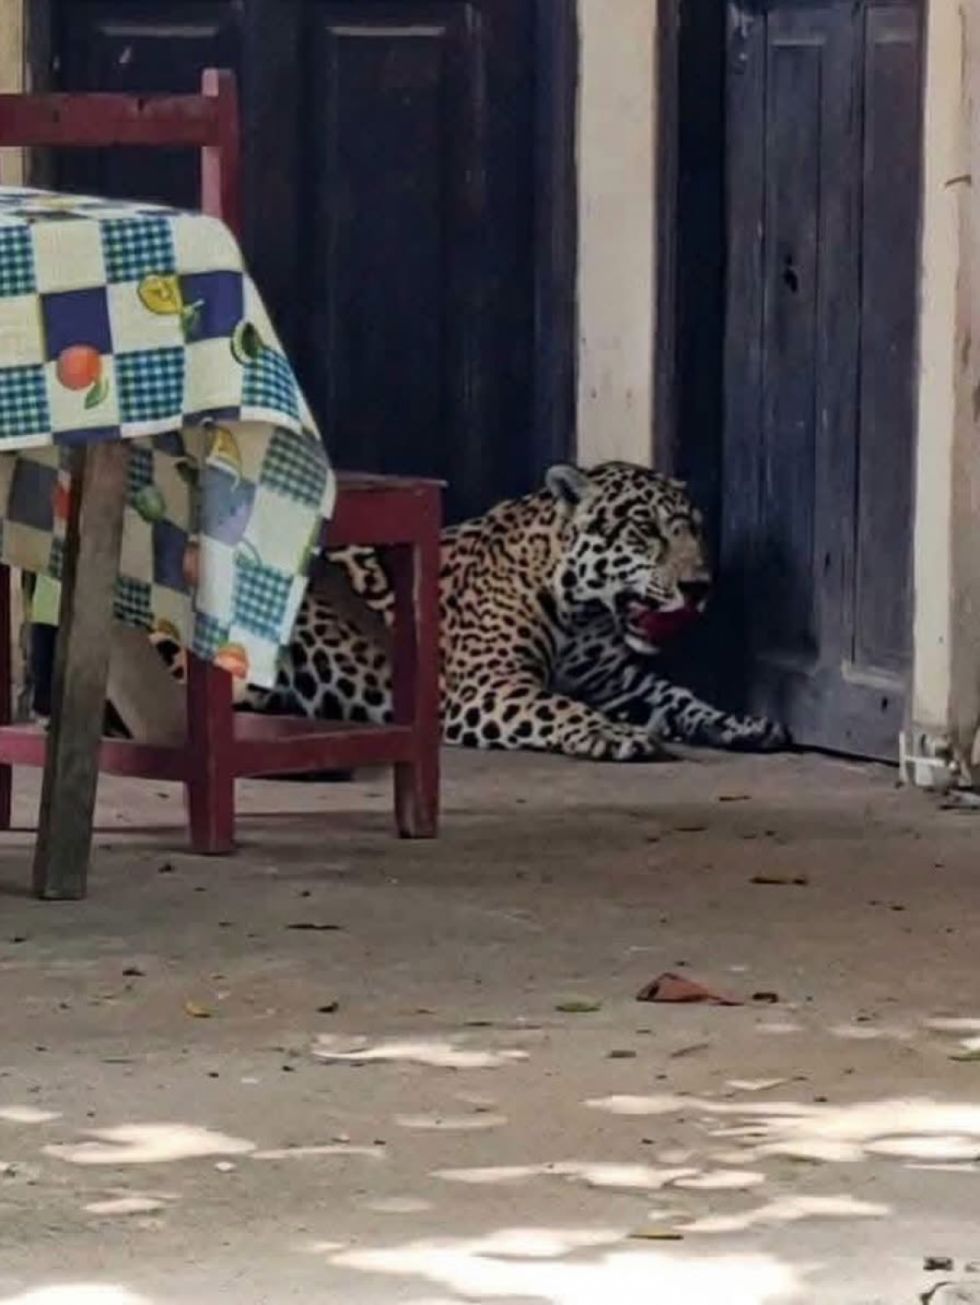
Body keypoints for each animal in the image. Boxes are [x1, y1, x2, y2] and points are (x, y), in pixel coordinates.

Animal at [151, 460, 788, 763]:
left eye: (695, 531)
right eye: (646, 530)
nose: (700, 586)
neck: (584, 615)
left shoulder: (619, 683)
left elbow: (682, 699)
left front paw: (743, 724)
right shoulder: (490, 685)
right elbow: (562, 707)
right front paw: (615, 735)